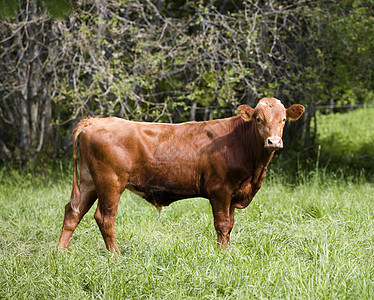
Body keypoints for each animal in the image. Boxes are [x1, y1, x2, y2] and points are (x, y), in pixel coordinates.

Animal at [58, 97, 304, 252]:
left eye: (283, 120)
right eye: (258, 119)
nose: (274, 142)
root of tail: (96, 121)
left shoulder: (234, 194)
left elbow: (230, 225)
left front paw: (227, 251)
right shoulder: (220, 191)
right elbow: (222, 224)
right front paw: (223, 255)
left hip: (89, 181)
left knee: (73, 211)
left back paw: (61, 252)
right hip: (110, 183)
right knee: (105, 218)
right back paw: (115, 255)